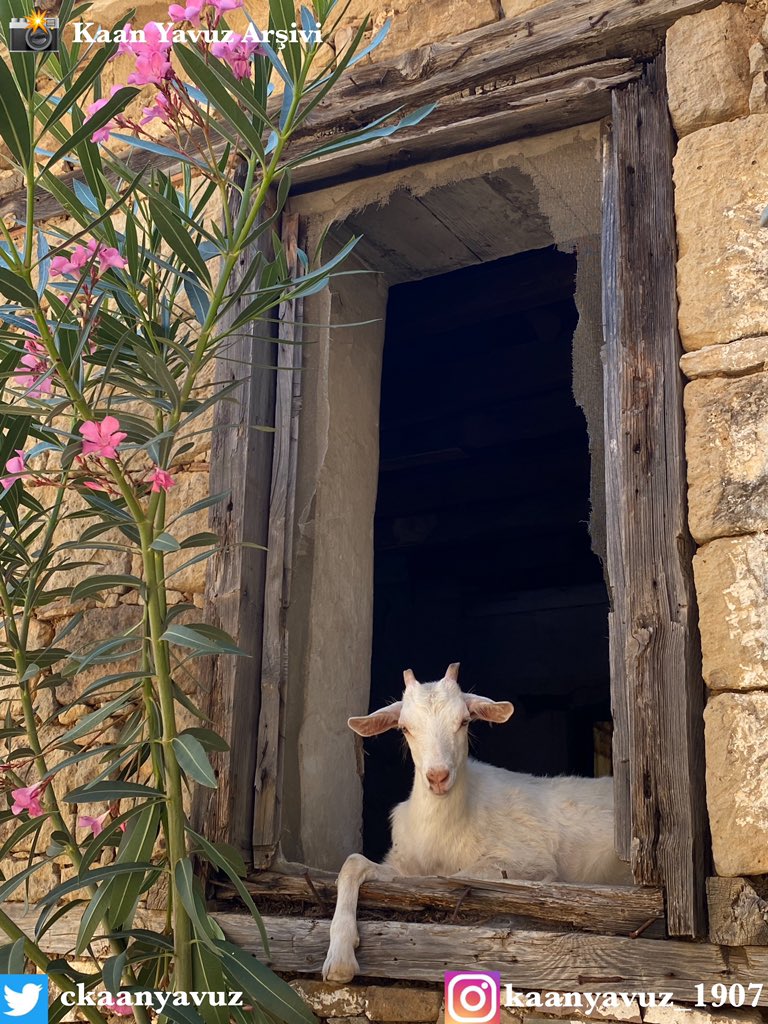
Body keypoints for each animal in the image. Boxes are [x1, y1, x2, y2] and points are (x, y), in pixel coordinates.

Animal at [322, 662, 631, 982]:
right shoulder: (403, 860)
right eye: (405, 727)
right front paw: (339, 960)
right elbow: (353, 864)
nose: (438, 776)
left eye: (464, 721)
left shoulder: (527, 860)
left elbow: (450, 877)